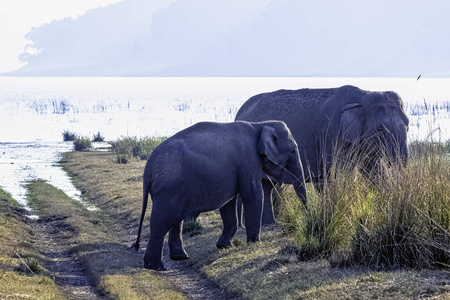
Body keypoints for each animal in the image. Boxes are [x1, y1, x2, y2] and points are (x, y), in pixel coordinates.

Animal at [130, 120, 306, 270]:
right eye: (293, 150)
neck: (260, 124)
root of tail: (149, 167)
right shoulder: (249, 161)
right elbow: (253, 195)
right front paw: (257, 244)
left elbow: (228, 203)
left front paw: (224, 246)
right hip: (169, 188)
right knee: (162, 222)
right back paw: (156, 267)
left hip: (172, 189)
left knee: (174, 219)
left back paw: (179, 257)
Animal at [237, 84, 410, 225]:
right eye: (381, 129)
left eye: (408, 125)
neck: (363, 94)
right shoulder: (331, 133)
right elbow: (339, 174)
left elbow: (375, 173)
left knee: (267, 186)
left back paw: (270, 225)